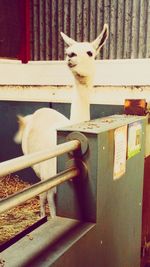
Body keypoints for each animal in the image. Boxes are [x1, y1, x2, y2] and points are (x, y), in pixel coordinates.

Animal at [14, 24, 108, 219]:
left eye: (90, 52)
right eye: (68, 50)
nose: (70, 55)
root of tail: (33, 115)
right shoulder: (53, 186)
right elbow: (53, 210)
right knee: (41, 195)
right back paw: (41, 216)